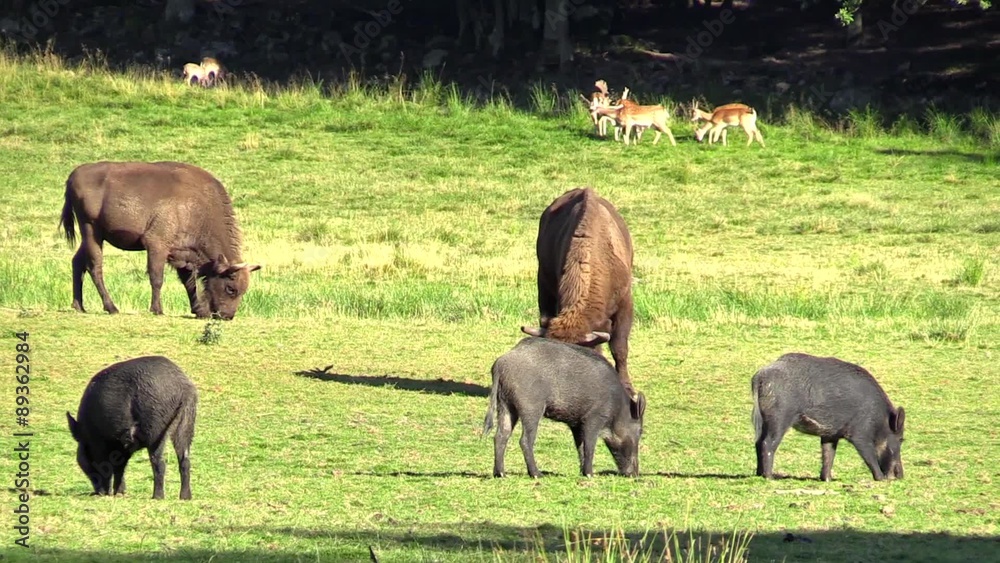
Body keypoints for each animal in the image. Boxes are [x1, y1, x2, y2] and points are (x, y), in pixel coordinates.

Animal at [66, 356, 198, 500]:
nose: (99, 493)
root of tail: (183, 388)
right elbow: (120, 466)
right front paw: (120, 493)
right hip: (186, 423)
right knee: (185, 460)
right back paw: (185, 497)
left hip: (155, 427)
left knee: (159, 462)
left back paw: (157, 497)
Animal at [482, 336, 647, 478]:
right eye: (640, 431)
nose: (635, 474)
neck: (617, 409)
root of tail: (500, 363)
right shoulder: (594, 418)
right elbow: (589, 446)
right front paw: (590, 474)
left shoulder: (576, 424)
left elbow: (580, 447)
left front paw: (583, 473)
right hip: (531, 407)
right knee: (525, 440)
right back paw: (537, 474)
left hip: (505, 405)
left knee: (500, 436)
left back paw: (501, 474)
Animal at [751, 352, 906, 482]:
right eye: (901, 439)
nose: (900, 476)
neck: (880, 421)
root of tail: (759, 376)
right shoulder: (859, 433)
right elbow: (869, 454)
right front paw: (881, 479)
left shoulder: (830, 434)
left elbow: (828, 454)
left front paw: (828, 479)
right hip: (780, 416)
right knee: (767, 443)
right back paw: (770, 477)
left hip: (765, 420)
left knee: (758, 442)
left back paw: (759, 474)